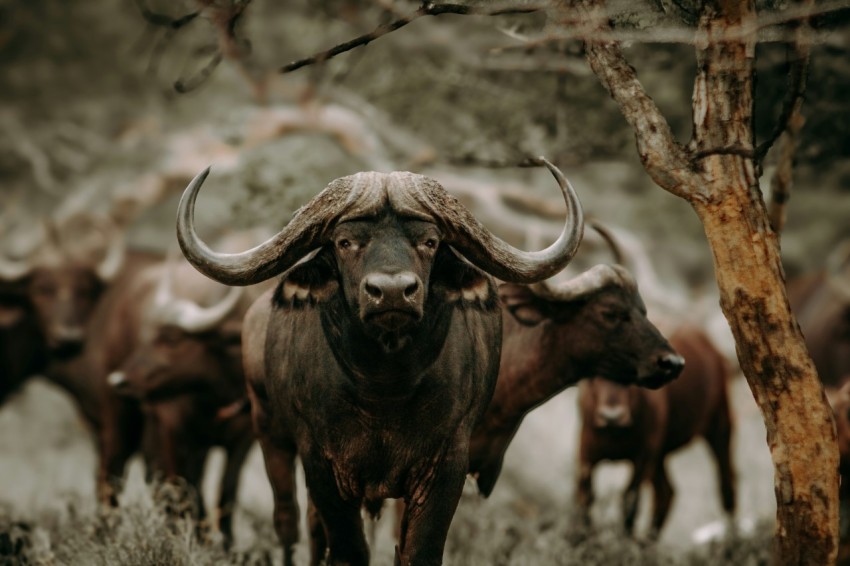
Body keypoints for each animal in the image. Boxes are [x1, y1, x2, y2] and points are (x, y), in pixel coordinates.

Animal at [173, 158, 584, 564]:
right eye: (345, 242)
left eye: (429, 241)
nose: (391, 293)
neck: (384, 388)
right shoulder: (322, 465)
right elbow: (349, 548)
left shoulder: (447, 465)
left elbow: (418, 549)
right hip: (268, 432)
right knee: (288, 521)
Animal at [576, 326, 736, 540]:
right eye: (592, 374)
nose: (612, 416)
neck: (615, 434)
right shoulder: (585, 454)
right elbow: (585, 498)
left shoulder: (643, 457)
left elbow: (630, 501)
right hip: (660, 456)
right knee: (666, 493)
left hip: (720, 427)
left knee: (726, 486)